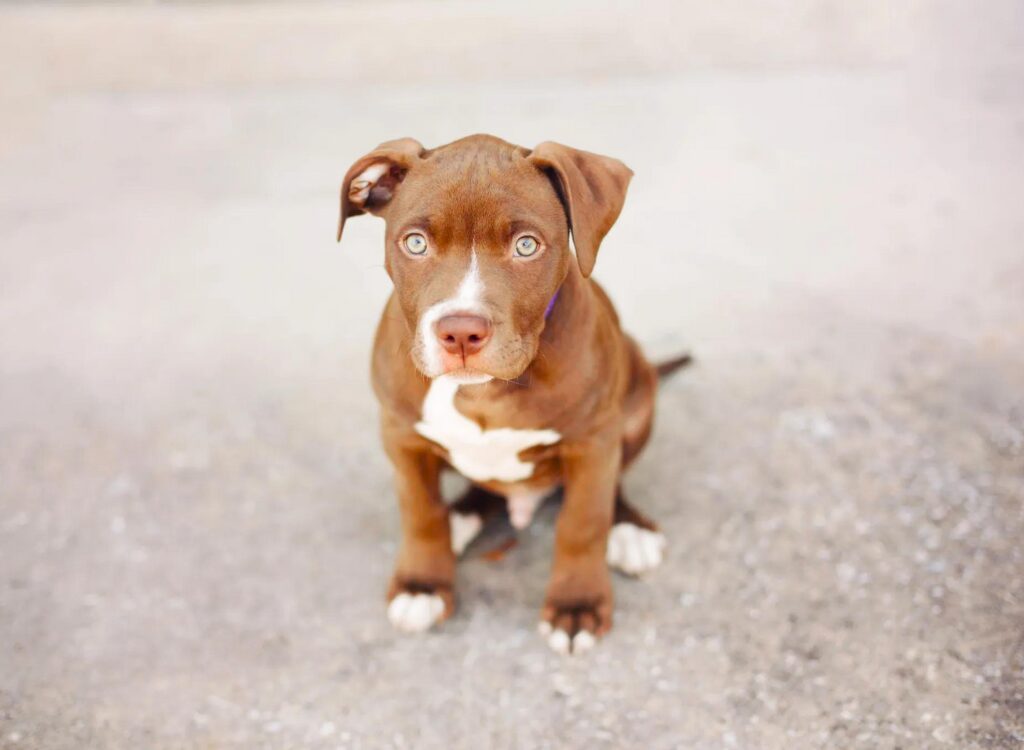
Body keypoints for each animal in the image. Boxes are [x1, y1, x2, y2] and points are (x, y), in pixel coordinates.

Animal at [337, 136, 688, 655]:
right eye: (415, 243)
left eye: (526, 245)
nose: (461, 332)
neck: (481, 391)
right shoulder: (400, 434)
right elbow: (420, 511)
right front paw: (422, 584)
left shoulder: (592, 442)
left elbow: (583, 520)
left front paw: (576, 604)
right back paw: (461, 516)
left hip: (636, 395)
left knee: (614, 482)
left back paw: (629, 528)